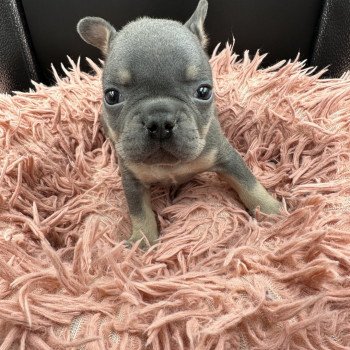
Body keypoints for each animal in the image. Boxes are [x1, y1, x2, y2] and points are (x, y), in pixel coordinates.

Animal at [77, 0, 282, 252]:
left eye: (203, 91)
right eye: (112, 96)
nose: (159, 122)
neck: (169, 165)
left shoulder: (226, 157)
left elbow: (250, 185)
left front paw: (274, 211)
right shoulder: (132, 179)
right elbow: (139, 212)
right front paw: (141, 241)